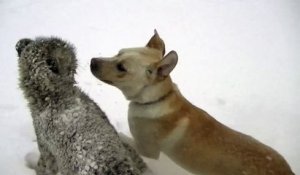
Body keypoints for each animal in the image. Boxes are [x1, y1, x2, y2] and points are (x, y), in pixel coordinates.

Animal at [90, 30, 294, 174]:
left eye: (122, 68)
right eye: (118, 52)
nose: (92, 61)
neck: (156, 99)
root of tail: (287, 170)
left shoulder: (147, 149)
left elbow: (123, 137)